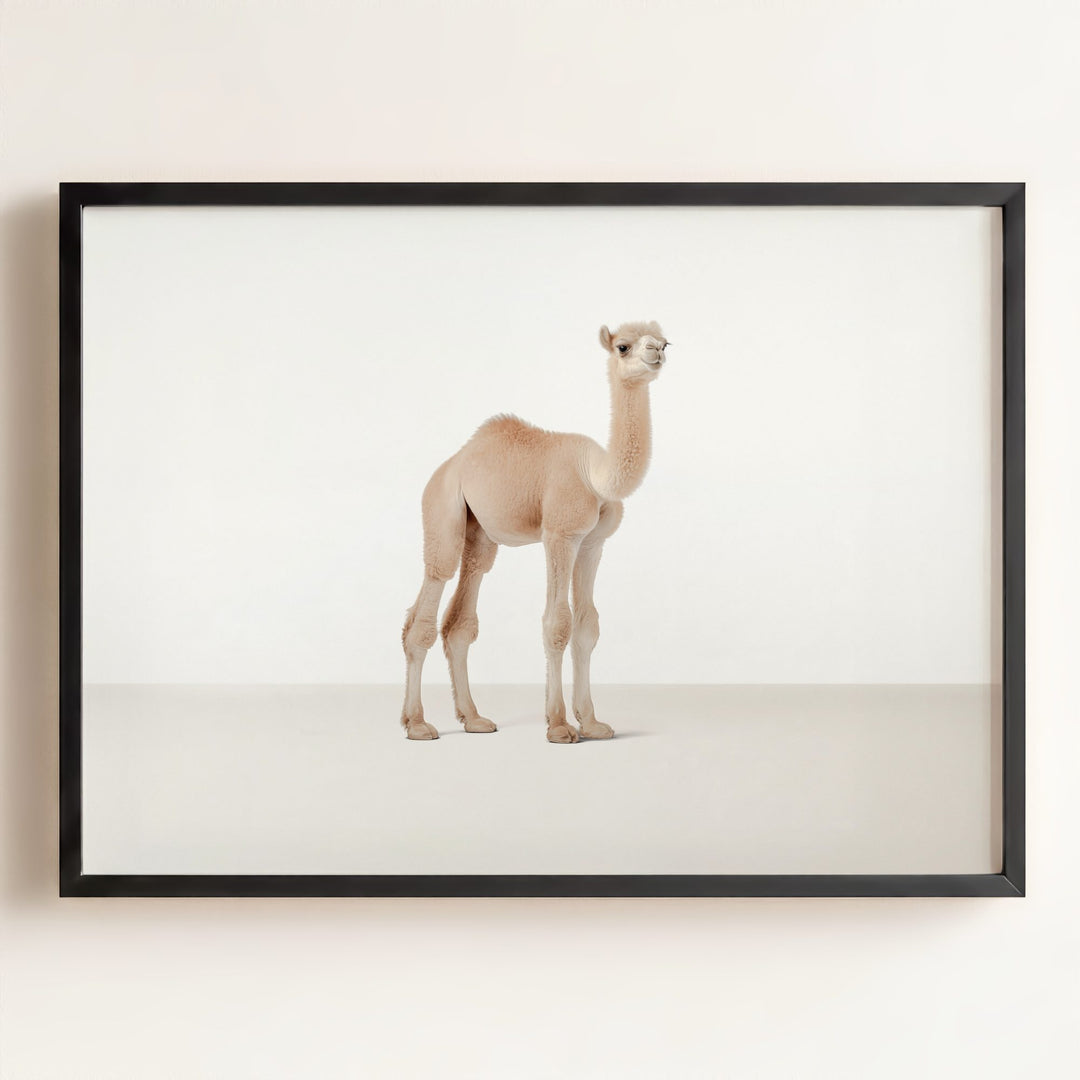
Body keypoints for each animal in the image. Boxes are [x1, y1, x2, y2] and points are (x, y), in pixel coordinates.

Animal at [400, 321, 668, 743]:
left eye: (666, 342)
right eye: (623, 346)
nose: (656, 351)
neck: (596, 475)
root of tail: (451, 463)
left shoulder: (592, 543)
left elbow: (587, 625)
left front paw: (592, 723)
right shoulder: (560, 534)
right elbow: (557, 622)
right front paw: (558, 725)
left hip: (480, 533)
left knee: (462, 614)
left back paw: (474, 718)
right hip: (441, 508)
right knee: (429, 597)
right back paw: (417, 724)